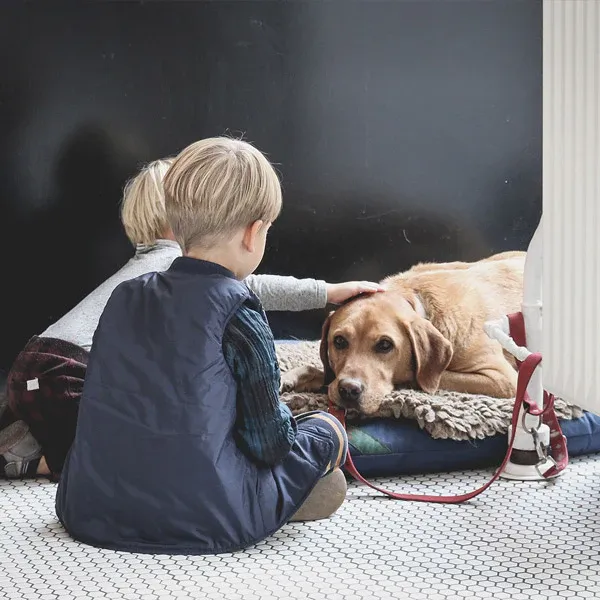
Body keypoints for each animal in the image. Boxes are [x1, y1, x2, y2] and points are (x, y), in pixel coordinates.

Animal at [282, 251, 524, 414]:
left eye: (385, 345)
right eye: (339, 341)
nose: (349, 390)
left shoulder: (503, 379)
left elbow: (419, 376)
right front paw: (297, 376)